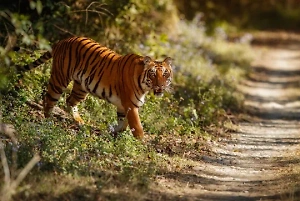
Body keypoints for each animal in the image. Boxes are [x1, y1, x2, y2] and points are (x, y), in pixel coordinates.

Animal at [19, 36, 173, 140]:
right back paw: (49, 122)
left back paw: (80, 122)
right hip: (60, 79)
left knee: (70, 101)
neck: (144, 87)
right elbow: (137, 127)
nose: (161, 85)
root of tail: (63, 40)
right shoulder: (130, 105)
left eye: (165, 73)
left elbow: (123, 124)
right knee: (49, 100)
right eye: (153, 73)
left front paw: (113, 132)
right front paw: (141, 143)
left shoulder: (124, 106)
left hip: (81, 87)